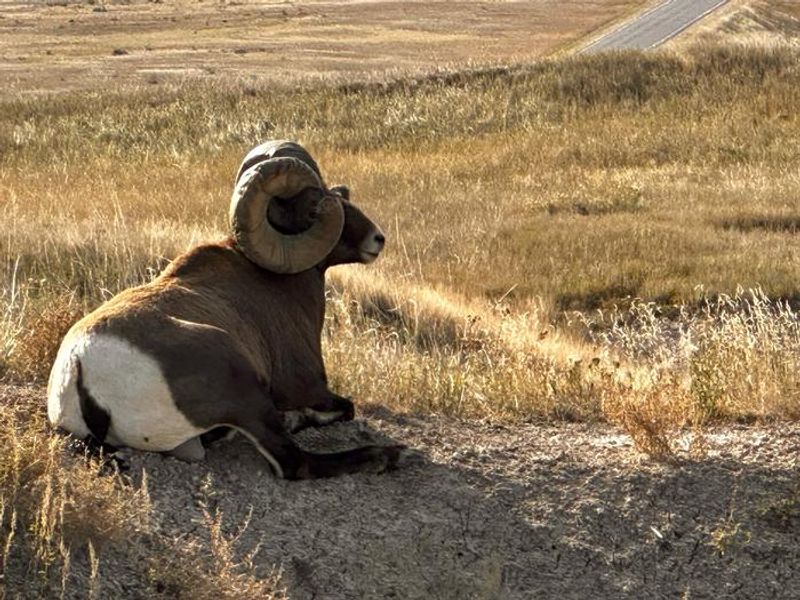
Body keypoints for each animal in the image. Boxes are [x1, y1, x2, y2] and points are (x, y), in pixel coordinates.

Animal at [47, 140, 404, 479]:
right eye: (315, 205)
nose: (377, 239)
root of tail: (80, 366)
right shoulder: (308, 387)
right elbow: (346, 407)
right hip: (242, 386)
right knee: (293, 463)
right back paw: (383, 455)